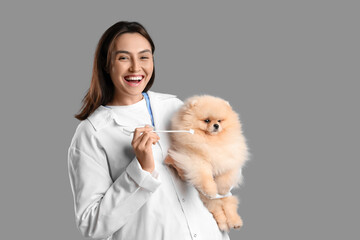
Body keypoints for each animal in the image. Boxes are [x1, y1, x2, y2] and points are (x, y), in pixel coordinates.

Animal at [165, 95, 249, 232]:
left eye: (219, 121)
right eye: (207, 120)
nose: (216, 125)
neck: (211, 141)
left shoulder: (229, 159)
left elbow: (226, 177)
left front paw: (221, 189)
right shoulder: (195, 160)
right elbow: (205, 177)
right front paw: (211, 190)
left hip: (226, 201)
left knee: (229, 206)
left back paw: (235, 222)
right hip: (209, 202)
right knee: (218, 209)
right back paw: (223, 224)